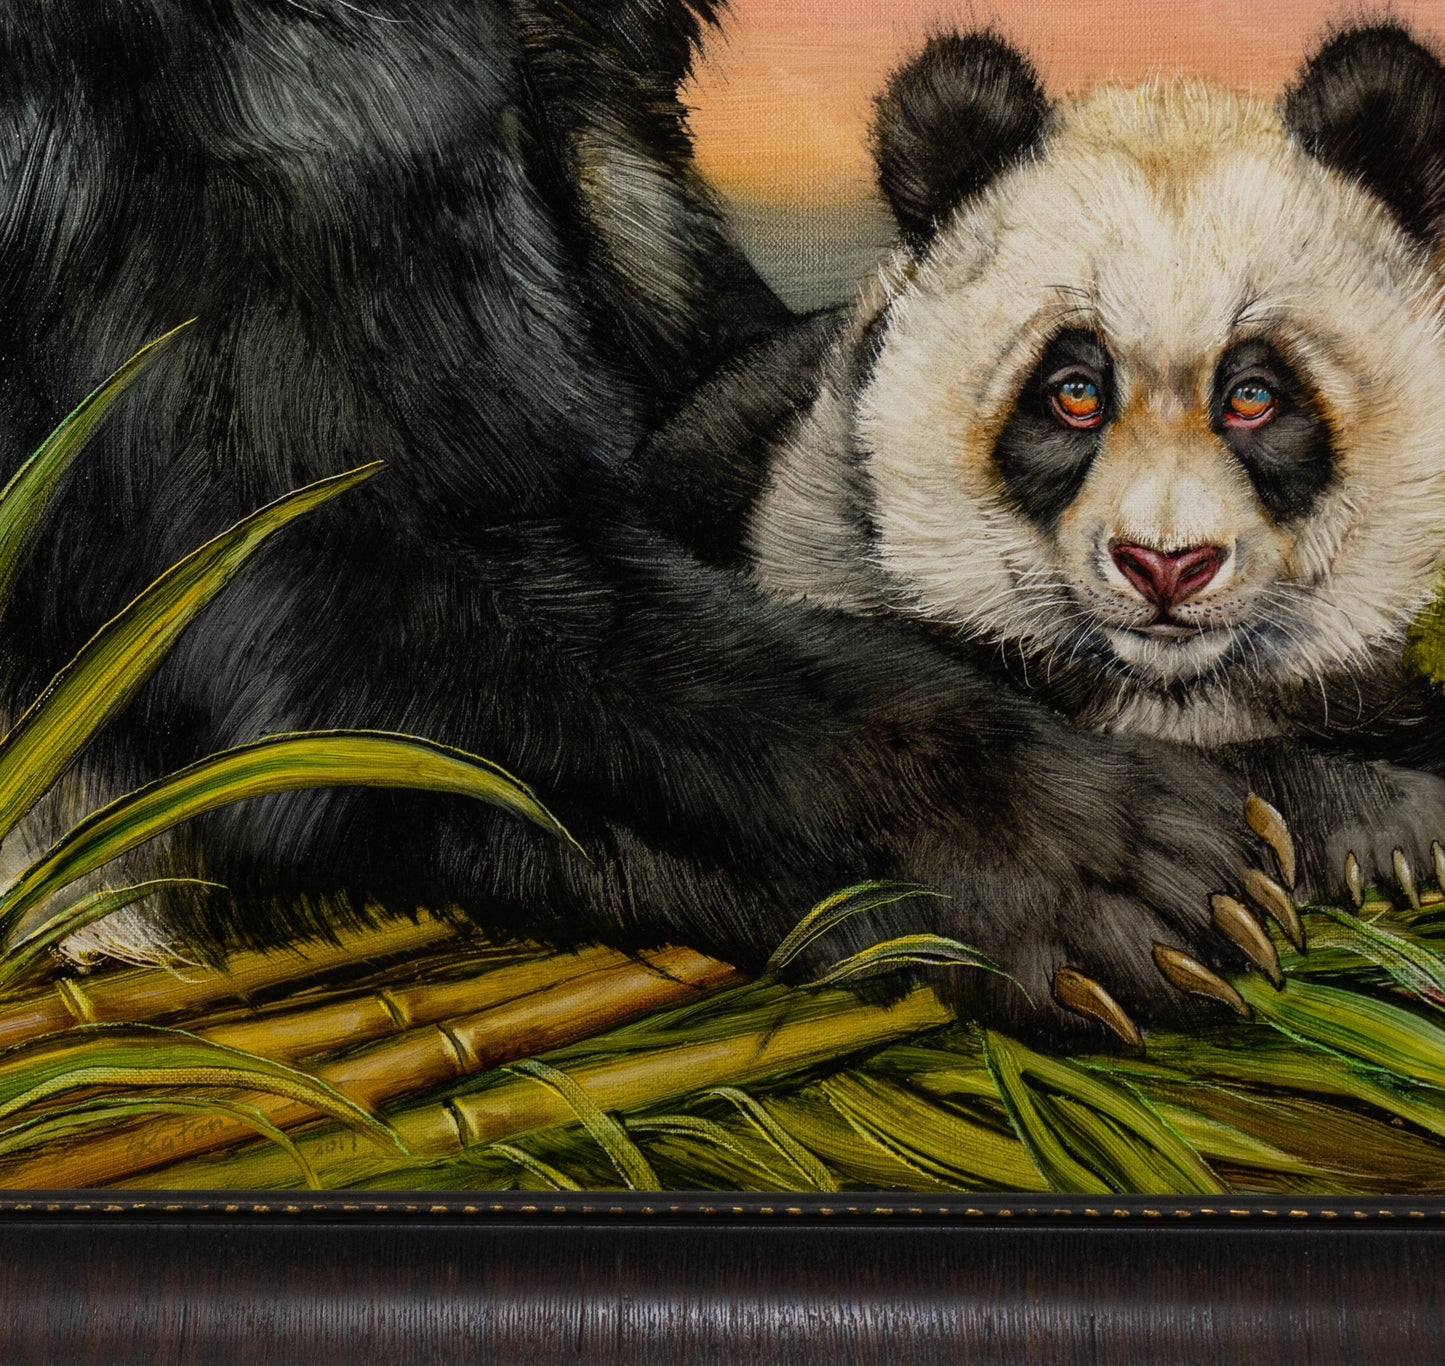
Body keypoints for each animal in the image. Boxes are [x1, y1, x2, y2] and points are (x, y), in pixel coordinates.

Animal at [0, 1, 1433, 1046]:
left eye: (1258, 395)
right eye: (1068, 390)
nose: (1164, 565)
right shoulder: (203, 101)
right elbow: (346, 602)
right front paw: (1121, 866)